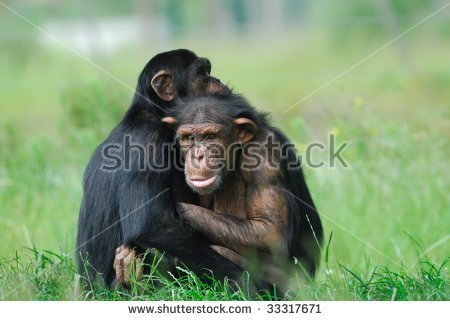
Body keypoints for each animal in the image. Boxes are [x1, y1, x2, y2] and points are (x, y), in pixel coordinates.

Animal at [76, 48, 244, 288]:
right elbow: (153, 225)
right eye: (203, 74)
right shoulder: (149, 145)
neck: (156, 113)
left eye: (209, 71)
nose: (217, 80)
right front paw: (242, 282)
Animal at [162, 93, 324, 290]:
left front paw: (180, 211)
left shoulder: (265, 155)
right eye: (188, 137)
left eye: (210, 136)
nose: (198, 155)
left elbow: (270, 231)